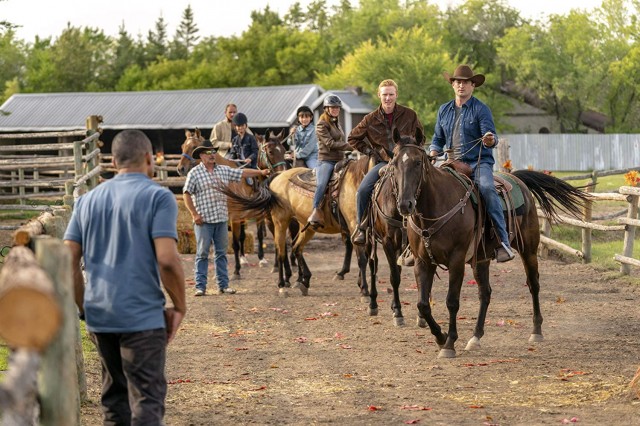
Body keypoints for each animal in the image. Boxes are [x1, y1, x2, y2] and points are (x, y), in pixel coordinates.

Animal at [390, 128, 592, 358]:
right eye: (394, 162)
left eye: (418, 162)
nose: (405, 204)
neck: (437, 207)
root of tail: (517, 179)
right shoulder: (423, 262)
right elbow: (423, 304)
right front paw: (441, 337)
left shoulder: (456, 261)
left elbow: (452, 302)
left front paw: (449, 343)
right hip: (481, 259)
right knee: (485, 293)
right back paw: (476, 337)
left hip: (529, 250)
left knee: (534, 284)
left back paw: (536, 331)